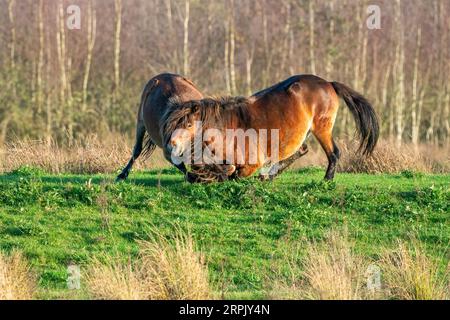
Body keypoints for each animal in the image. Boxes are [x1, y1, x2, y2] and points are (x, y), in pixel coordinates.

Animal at [163, 73, 378, 181]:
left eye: (188, 124)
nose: (171, 144)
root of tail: (329, 84)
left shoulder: (251, 163)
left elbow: (235, 174)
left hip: (321, 128)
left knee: (333, 153)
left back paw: (326, 179)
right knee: (301, 150)